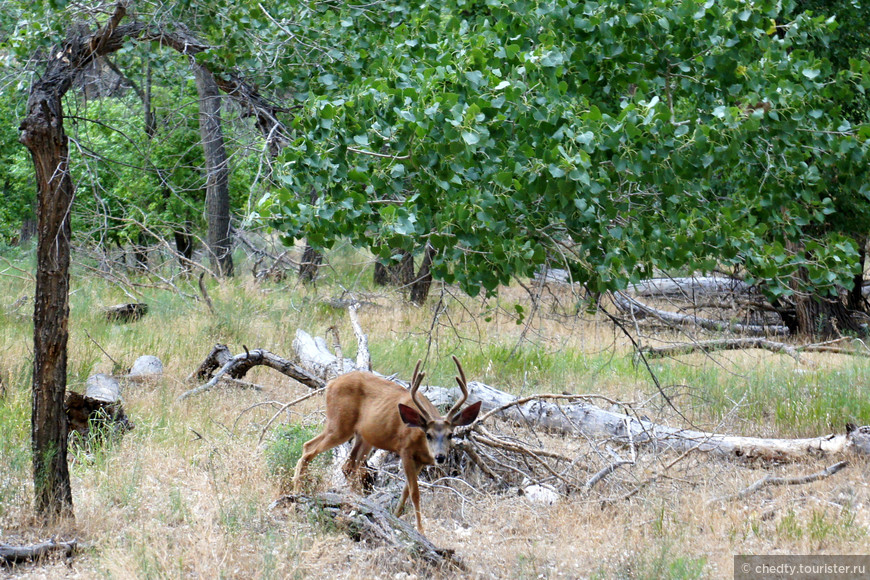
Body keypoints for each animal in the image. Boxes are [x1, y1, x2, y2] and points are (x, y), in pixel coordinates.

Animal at [292, 356, 484, 532]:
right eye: (428, 435)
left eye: (450, 435)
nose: (440, 457)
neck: (420, 441)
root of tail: (330, 383)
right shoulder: (405, 450)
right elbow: (415, 492)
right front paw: (420, 530)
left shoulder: (420, 461)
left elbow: (406, 490)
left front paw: (396, 516)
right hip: (339, 424)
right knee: (308, 448)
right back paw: (297, 493)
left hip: (363, 436)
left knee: (348, 466)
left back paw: (356, 501)